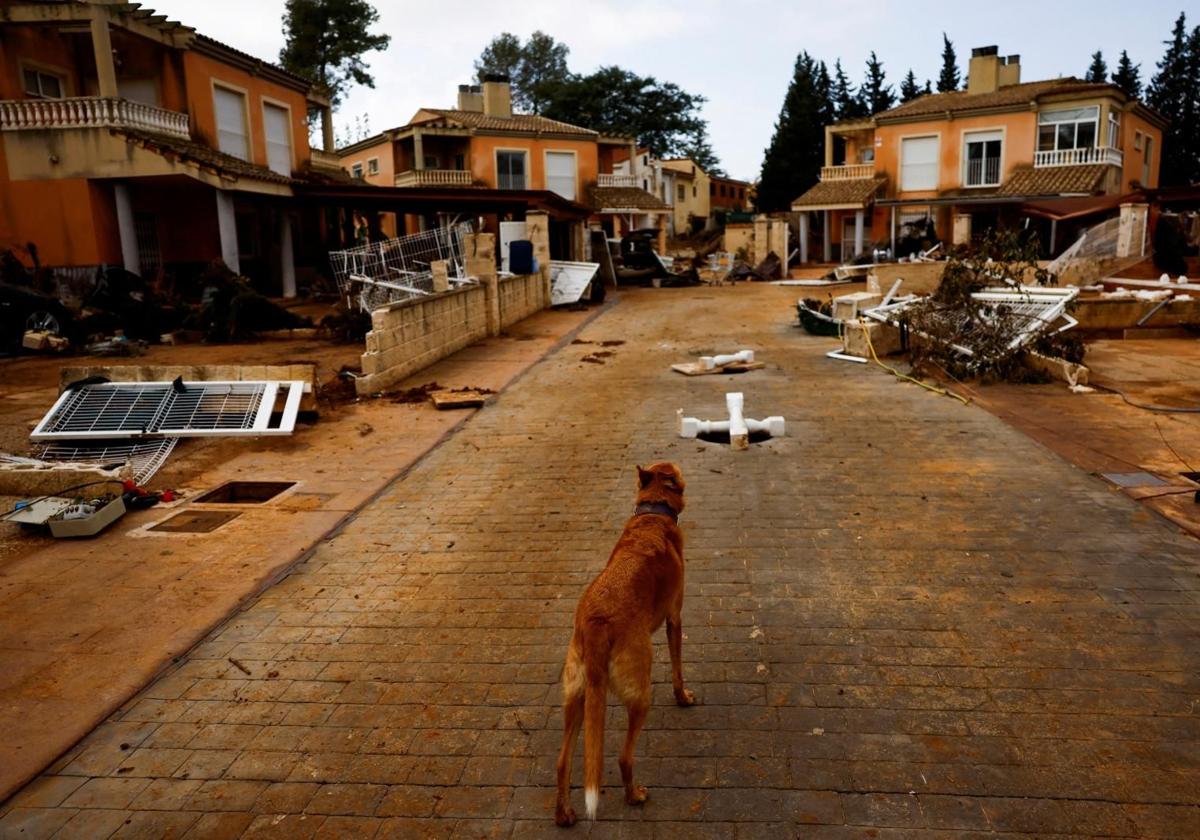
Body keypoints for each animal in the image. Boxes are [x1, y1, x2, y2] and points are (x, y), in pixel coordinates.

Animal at [552, 463, 696, 825]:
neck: (653, 515)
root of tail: (596, 623)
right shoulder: (675, 618)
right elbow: (678, 669)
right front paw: (684, 697)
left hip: (577, 696)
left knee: (562, 762)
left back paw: (564, 815)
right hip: (640, 691)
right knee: (623, 757)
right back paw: (634, 796)